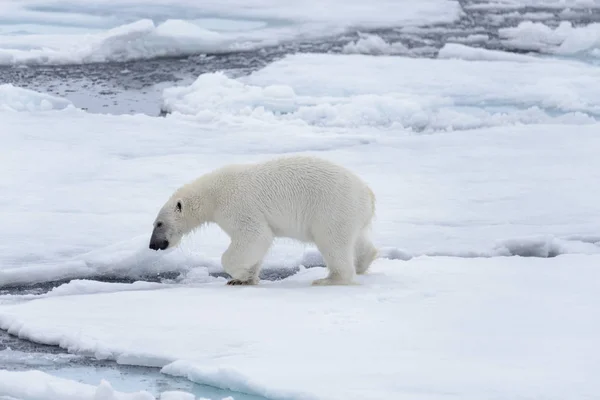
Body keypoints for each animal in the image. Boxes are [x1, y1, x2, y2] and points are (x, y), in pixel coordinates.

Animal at [148, 155, 378, 286]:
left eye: (159, 224)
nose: (153, 245)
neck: (212, 194)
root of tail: (368, 193)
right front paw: (244, 279)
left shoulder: (237, 204)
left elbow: (255, 236)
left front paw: (239, 273)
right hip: (352, 213)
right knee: (356, 239)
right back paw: (363, 262)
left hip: (331, 207)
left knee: (332, 241)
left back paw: (329, 279)